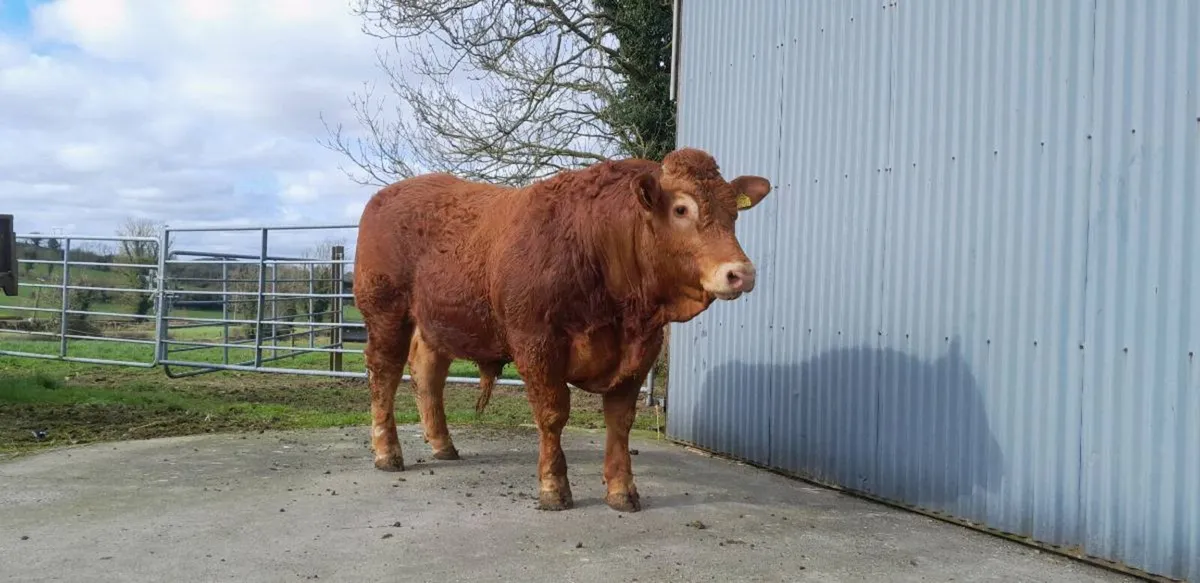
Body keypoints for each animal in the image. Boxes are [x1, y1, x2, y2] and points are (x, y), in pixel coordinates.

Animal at [353, 147, 772, 512]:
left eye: (733, 212)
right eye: (682, 208)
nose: (741, 273)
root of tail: (387, 194)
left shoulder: (642, 350)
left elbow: (620, 420)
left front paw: (622, 490)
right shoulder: (536, 342)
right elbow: (553, 414)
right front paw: (554, 488)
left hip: (437, 321)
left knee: (427, 373)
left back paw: (443, 445)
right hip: (386, 312)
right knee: (384, 374)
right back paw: (387, 452)